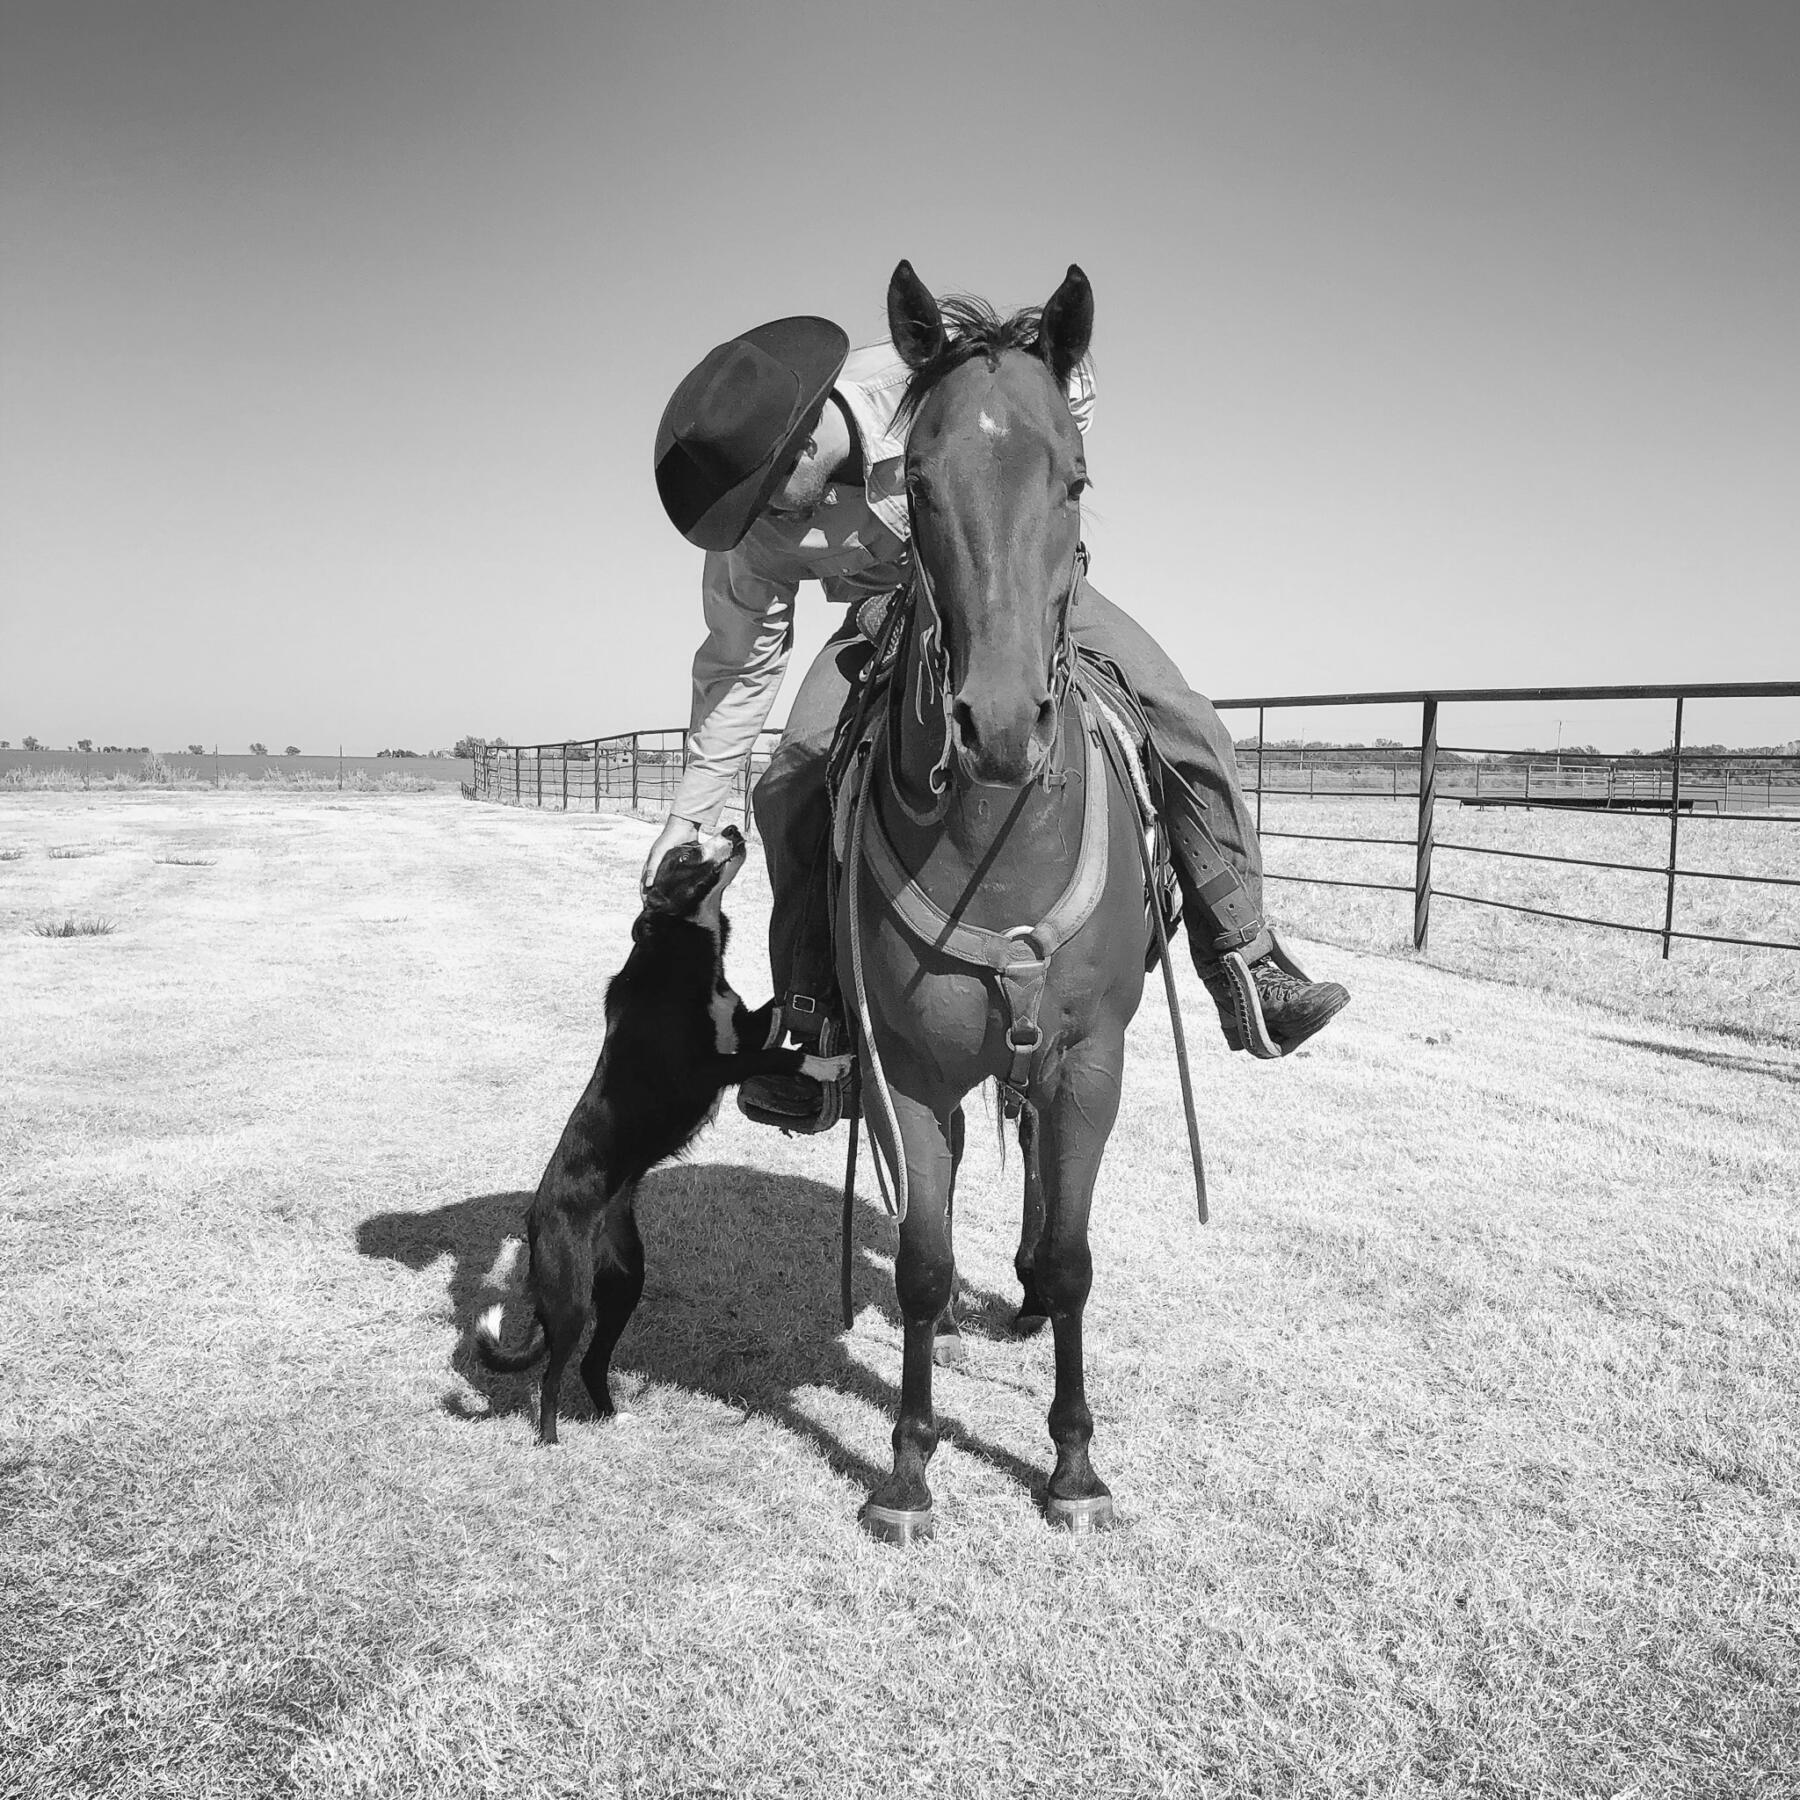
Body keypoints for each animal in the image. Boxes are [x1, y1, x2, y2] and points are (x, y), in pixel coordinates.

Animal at [475, 824, 846, 1440]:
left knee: (592, 1362)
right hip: (572, 1296)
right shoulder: (706, 1068)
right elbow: (777, 1055)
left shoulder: (742, 1030)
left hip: (625, 1283)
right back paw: (550, 1442)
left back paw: (611, 1417)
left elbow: (774, 1014)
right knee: (551, 1374)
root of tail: (536, 1217)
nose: (732, 827)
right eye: (687, 851)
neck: (681, 950)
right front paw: (824, 1064)